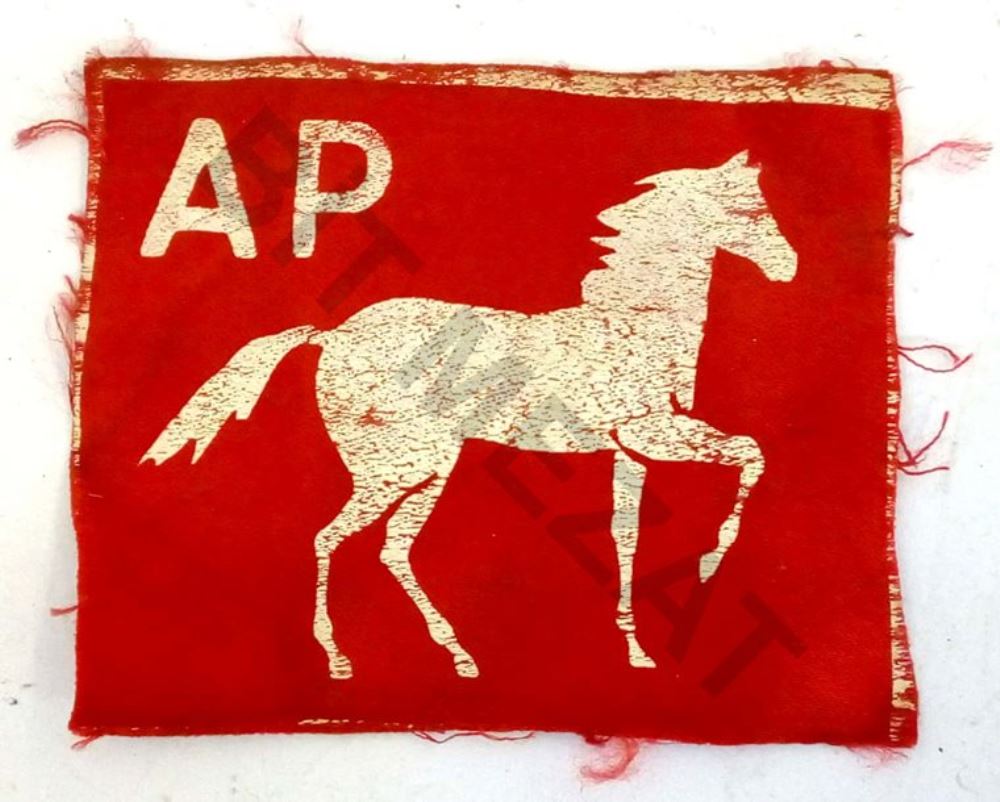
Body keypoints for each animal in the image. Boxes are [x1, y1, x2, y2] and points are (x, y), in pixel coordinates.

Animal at [142, 149, 798, 679]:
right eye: (747, 212)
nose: (789, 267)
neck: (637, 325)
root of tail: (334, 334)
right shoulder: (651, 431)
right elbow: (752, 453)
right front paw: (709, 566)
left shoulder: (630, 450)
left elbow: (627, 537)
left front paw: (635, 650)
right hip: (404, 465)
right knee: (332, 538)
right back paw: (341, 659)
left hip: (424, 469)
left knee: (390, 549)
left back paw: (457, 655)